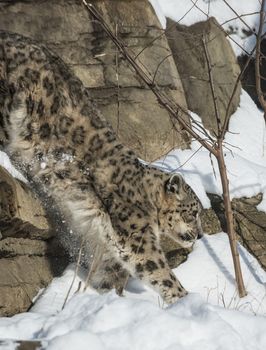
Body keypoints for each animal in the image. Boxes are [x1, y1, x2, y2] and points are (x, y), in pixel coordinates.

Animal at [0, 31, 201, 304]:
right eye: (193, 213)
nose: (200, 235)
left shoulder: (106, 245)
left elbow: (110, 270)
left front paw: (108, 297)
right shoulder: (136, 234)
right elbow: (157, 269)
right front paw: (186, 299)